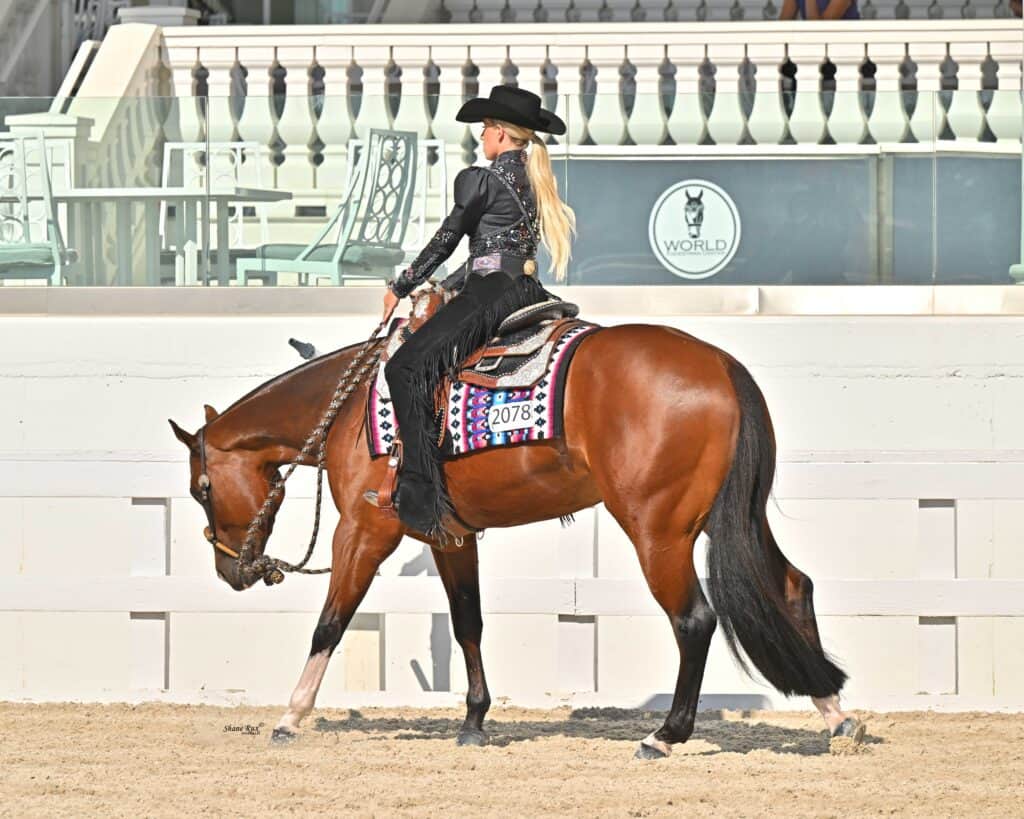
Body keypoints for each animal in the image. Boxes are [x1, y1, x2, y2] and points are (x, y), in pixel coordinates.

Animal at [168, 297, 865, 758]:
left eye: (202, 489)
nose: (232, 569)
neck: (348, 411)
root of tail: (721, 364)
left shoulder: (365, 531)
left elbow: (330, 622)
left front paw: (290, 715)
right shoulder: (451, 536)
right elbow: (468, 621)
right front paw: (474, 722)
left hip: (658, 531)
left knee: (694, 619)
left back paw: (665, 735)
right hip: (736, 520)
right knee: (792, 587)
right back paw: (835, 715)